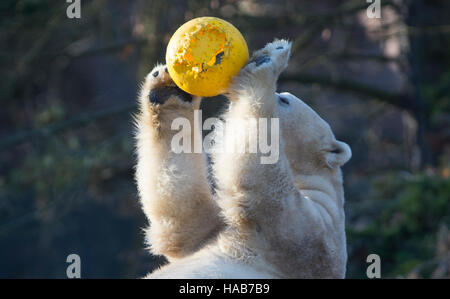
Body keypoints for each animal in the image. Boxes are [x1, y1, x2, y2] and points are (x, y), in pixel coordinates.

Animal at [134, 39, 352, 278]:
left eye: (285, 100)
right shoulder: (212, 231)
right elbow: (185, 221)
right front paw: (168, 89)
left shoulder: (308, 233)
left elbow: (262, 183)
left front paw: (269, 58)